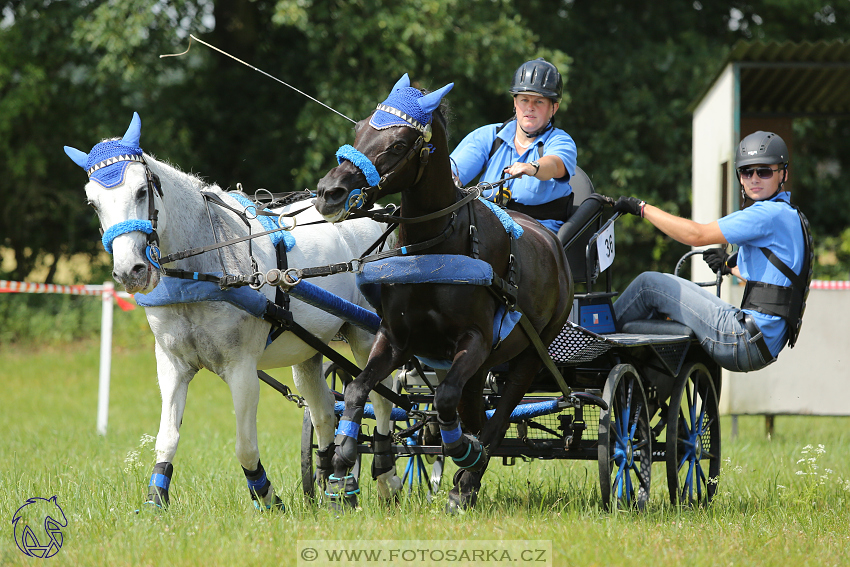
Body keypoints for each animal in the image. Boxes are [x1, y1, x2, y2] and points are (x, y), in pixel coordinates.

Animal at [63, 112, 400, 510]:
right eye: (93, 203)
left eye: (142, 191)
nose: (130, 271)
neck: (203, 269)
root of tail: (371, 213)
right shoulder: (172, 365)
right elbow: (167, 438)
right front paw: (155, 499)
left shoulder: (241, 368)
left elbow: (244, 447)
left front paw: (266, 497)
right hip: (309, 351)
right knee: (322, 411)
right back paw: (336, 486)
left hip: (366, 335)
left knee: (379, 398)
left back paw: (387, 480)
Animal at [314, 73, 568, 512]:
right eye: (360, 128)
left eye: (398, 144)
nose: (330, 191)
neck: (433, 248)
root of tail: (553, 244)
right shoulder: (397, 339)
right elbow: (359, 387)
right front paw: (343, 460)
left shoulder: (476, 340)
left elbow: (446, 398)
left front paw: (462, 451)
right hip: (484, 365)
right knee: (477, 413)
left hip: (531, 353)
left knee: (498, 416)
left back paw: (467, 478)